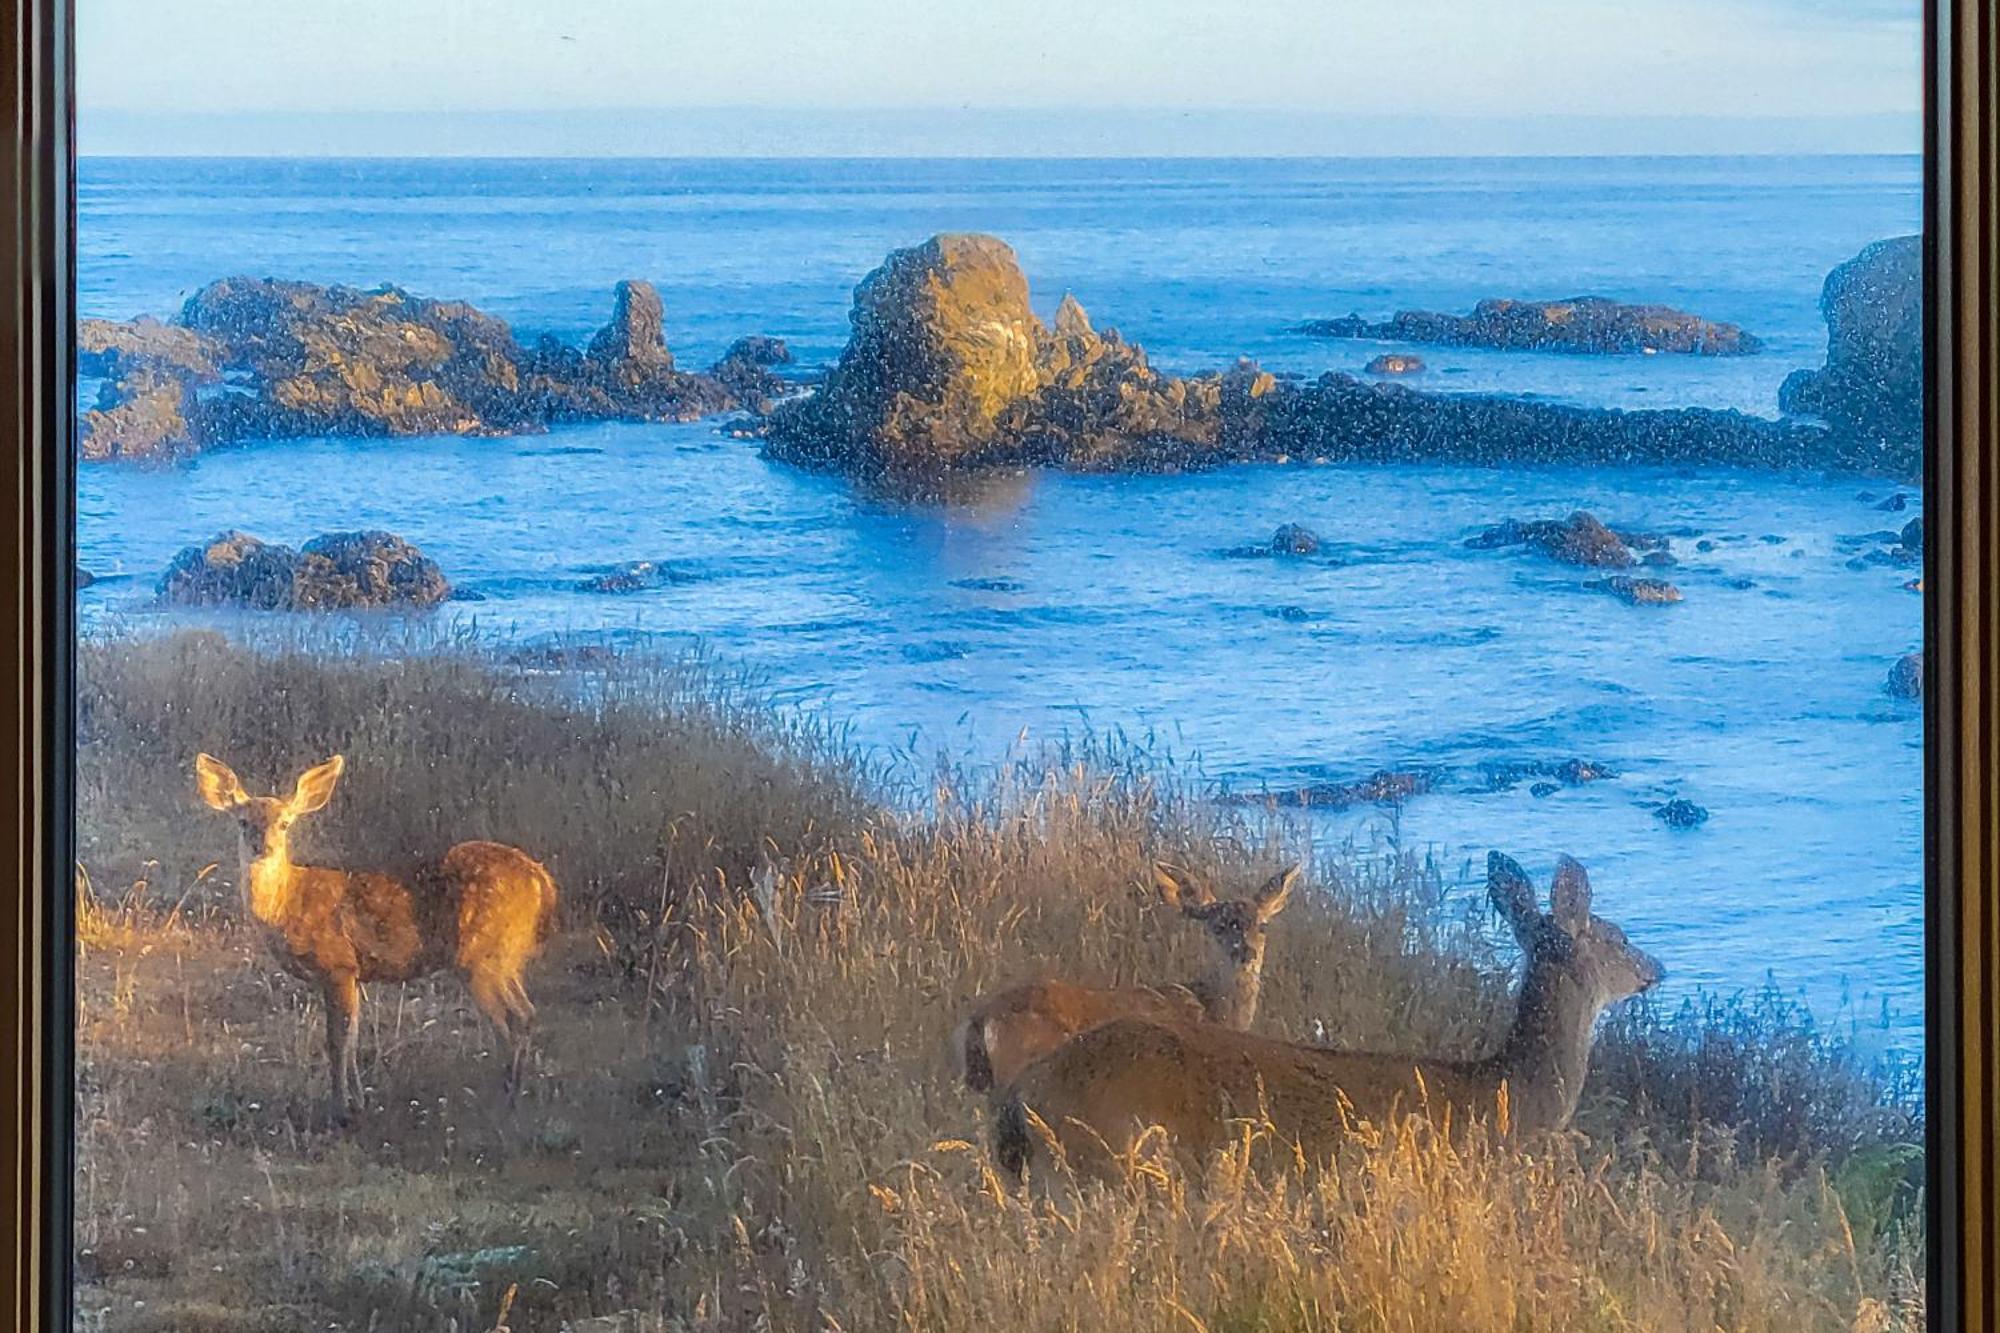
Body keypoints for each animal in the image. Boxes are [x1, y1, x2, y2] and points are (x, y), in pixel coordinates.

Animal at [194, 748, 560, 1120]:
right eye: (243, 822)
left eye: (284, 823)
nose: (262, 847)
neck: (287, 905)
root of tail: (541, 880)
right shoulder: (354, 973)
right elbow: (354, 1039)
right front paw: (359, 1101)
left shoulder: (336, 964)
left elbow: (336, 1041)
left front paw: (339, 1109)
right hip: (504, 955)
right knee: (526, 1013)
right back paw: (517, 1091)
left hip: (477, 955)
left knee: (508, 1020)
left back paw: (505, 1099)